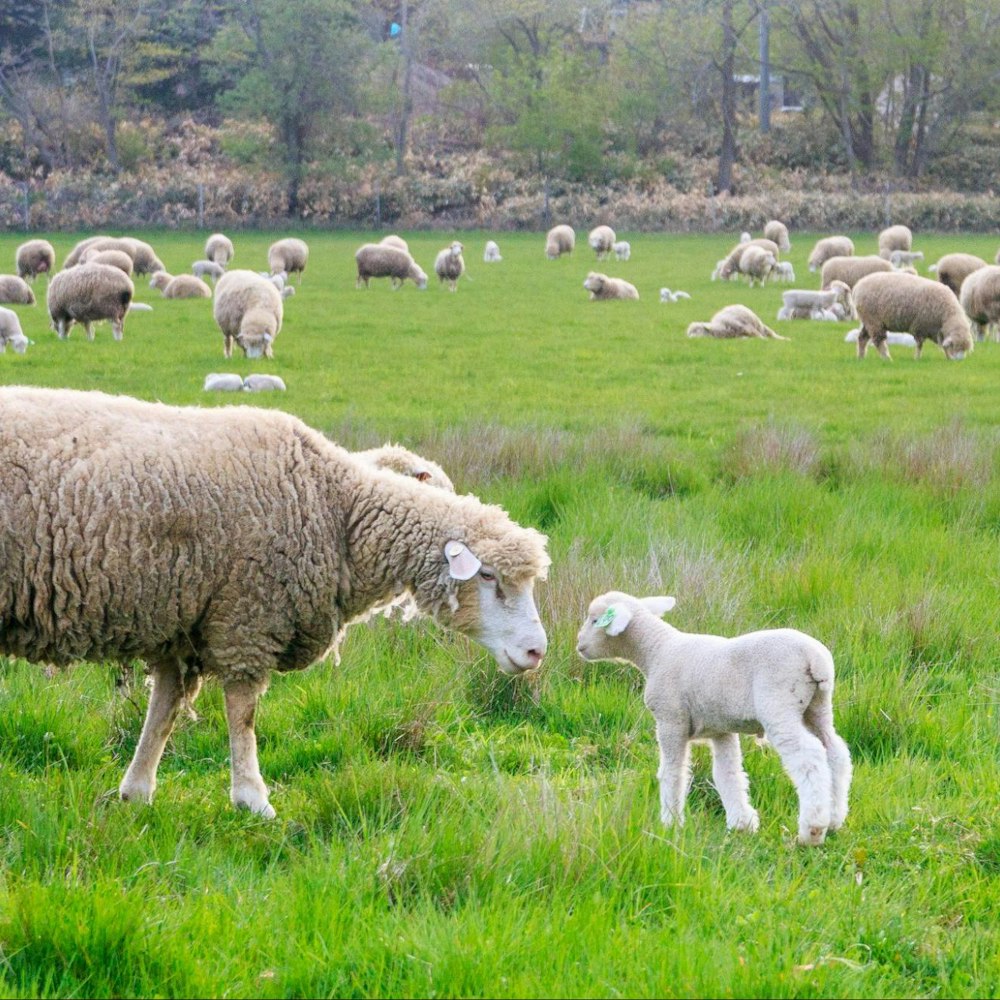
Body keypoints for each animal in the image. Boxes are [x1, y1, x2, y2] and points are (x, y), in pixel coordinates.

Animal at [0, 386, 552, 816]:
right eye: (487, 575)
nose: (536, 652)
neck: (337, 510)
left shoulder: (183, 620)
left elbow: (165, 708)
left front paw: (136, 791)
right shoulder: (247, 614)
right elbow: (242, 713)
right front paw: (252, 798)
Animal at [580, 588, 852, 848]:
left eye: (595, 620)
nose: (579, 644)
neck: (656, 651)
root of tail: (815, 659)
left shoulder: (671, 719)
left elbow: (672, 772)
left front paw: (670, 823)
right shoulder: (721, 729)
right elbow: (727, 774)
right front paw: (741, 824)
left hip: (779, 705)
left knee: (809, 756)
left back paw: (812, 830)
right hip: (817, 707)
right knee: (835, 751)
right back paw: (834, 819)